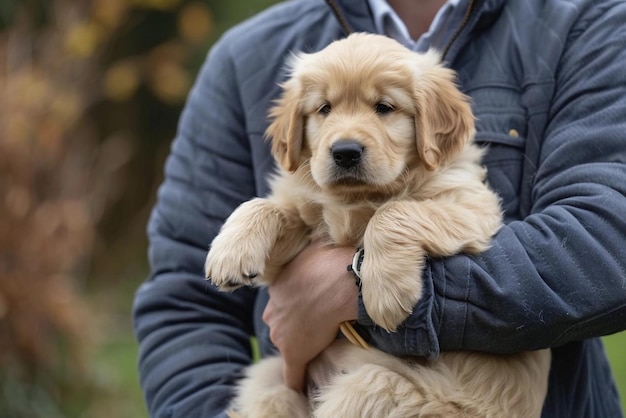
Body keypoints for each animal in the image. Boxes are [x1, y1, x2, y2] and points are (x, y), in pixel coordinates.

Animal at [204, 32, 544, 418]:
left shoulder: (471, 204)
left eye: (384, 107)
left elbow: (394, 213)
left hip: (379, 390)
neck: (359, 197)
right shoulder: (289, 260)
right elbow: (262, 205)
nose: (345, 152)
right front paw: (229, 254)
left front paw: (385, 292)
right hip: (269, 378)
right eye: (324, 109)